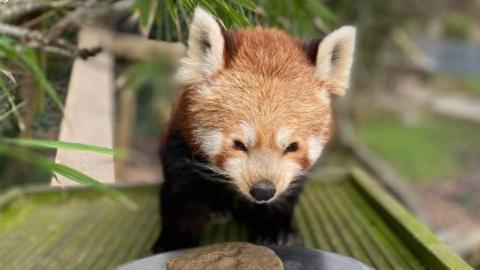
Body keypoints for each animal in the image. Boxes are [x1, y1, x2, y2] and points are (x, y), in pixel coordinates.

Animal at [152, 5, 354, 251]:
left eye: (292, 147)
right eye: (239, 144)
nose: (263, 191)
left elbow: (286, 195)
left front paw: (276, 230)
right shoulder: (182, 143)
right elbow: (183, 198)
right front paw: (174, 241)